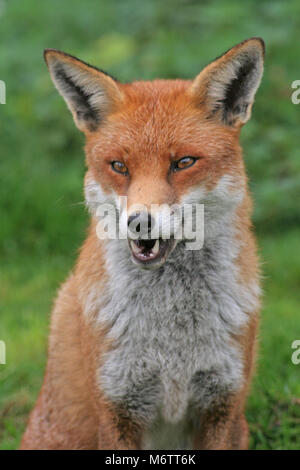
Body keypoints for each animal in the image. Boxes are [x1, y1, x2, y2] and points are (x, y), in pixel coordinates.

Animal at [21, 36, 264, 448]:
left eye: (183, 162)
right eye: (119, 166)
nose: (138, 223)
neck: (172, 338)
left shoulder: (222, 407)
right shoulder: (116, 409)